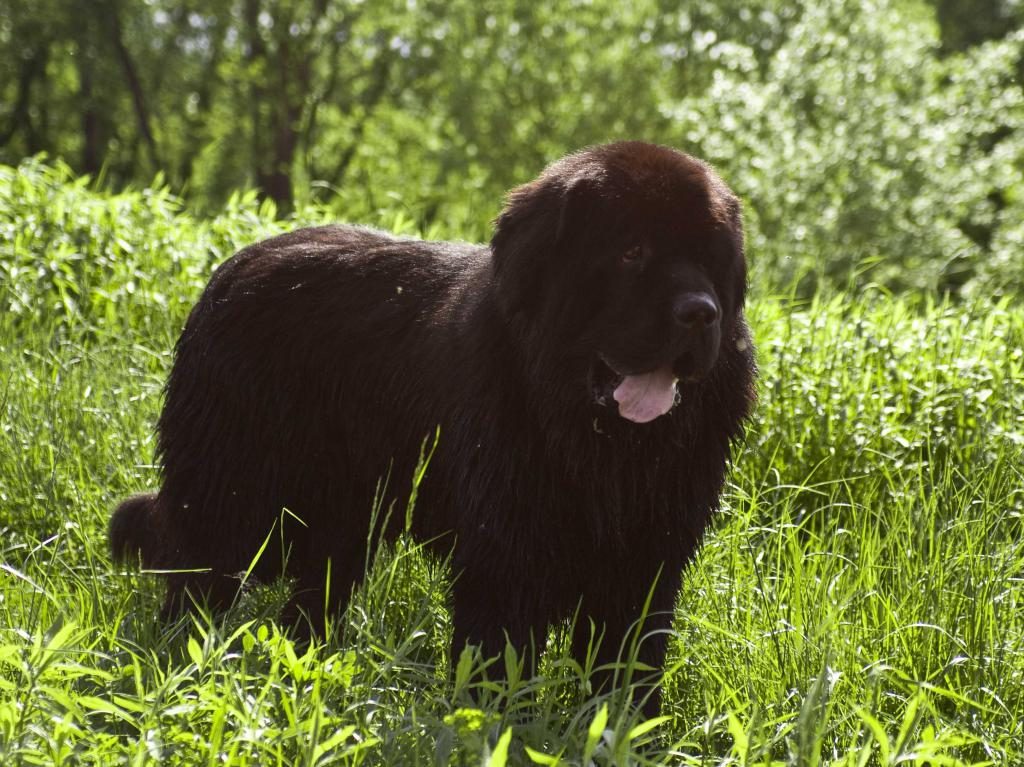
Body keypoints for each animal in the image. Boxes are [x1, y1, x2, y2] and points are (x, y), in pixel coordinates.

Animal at [110, 140, 753, 704]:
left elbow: (628, 666)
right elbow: (500, 658)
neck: (592, 438)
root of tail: (230, 270)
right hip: (234, 492)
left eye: (710, 258)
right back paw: (181, 665)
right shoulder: (505, 554)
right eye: (631, 252)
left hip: (342, 516)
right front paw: (496, 728)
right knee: (197, 583)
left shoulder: (647, 559)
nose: (701, 313)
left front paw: (623, 730)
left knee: (310, 599)